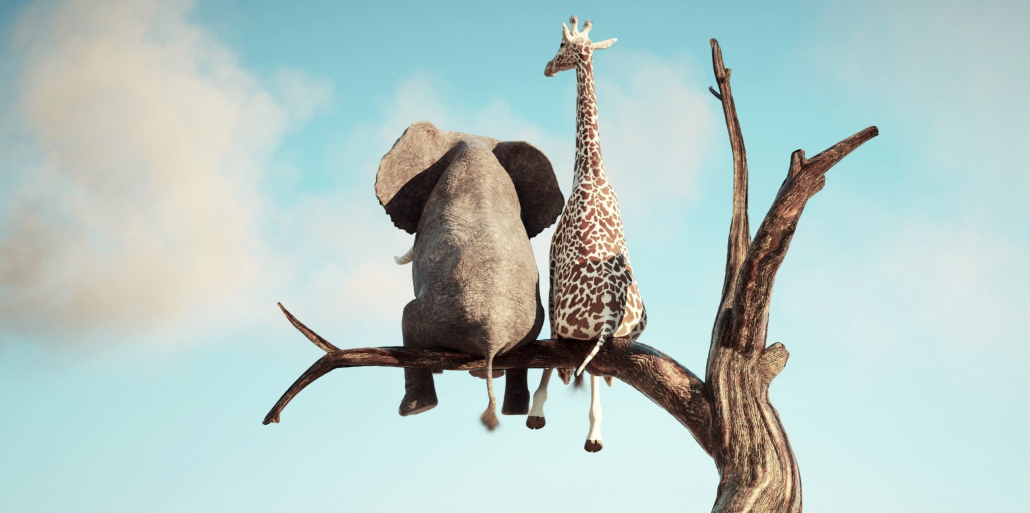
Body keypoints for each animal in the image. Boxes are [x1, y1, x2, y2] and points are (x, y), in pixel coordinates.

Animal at [525, 16, 646, 453]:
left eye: (561, 44)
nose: (547, 66)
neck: (590, 172)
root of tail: (612, 313)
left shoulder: (550, 264)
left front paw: (537, 410)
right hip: (625, 333)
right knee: (597, 366)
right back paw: (594, 435)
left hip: (569, 322)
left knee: (567, 358)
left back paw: (548, 416)